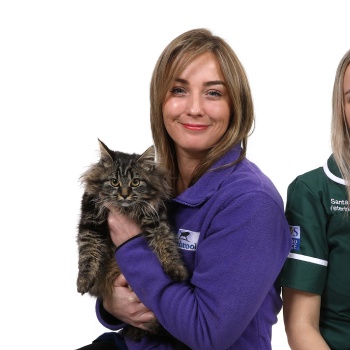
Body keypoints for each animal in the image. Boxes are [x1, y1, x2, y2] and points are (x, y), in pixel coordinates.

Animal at [77, 139, 189, 342]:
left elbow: (166, 245)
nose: (124, 194)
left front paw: (176, 270)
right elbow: (87, 254)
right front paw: (83, 281)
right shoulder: (90, 224)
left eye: (135, 182)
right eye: (114, 182)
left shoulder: (156, 221)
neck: (126, 209)